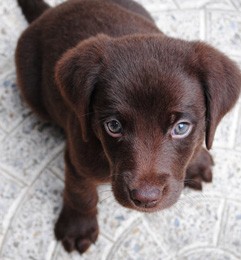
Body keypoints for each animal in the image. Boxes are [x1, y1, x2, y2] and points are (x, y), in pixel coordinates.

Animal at [15, 0, 241, 254]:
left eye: (181, 128)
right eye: (113, 126)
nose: (145, 198)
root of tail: (50, 12)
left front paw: (197, 159)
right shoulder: (77, 158)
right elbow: (80, 193)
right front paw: (78, 227)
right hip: (31, 89)